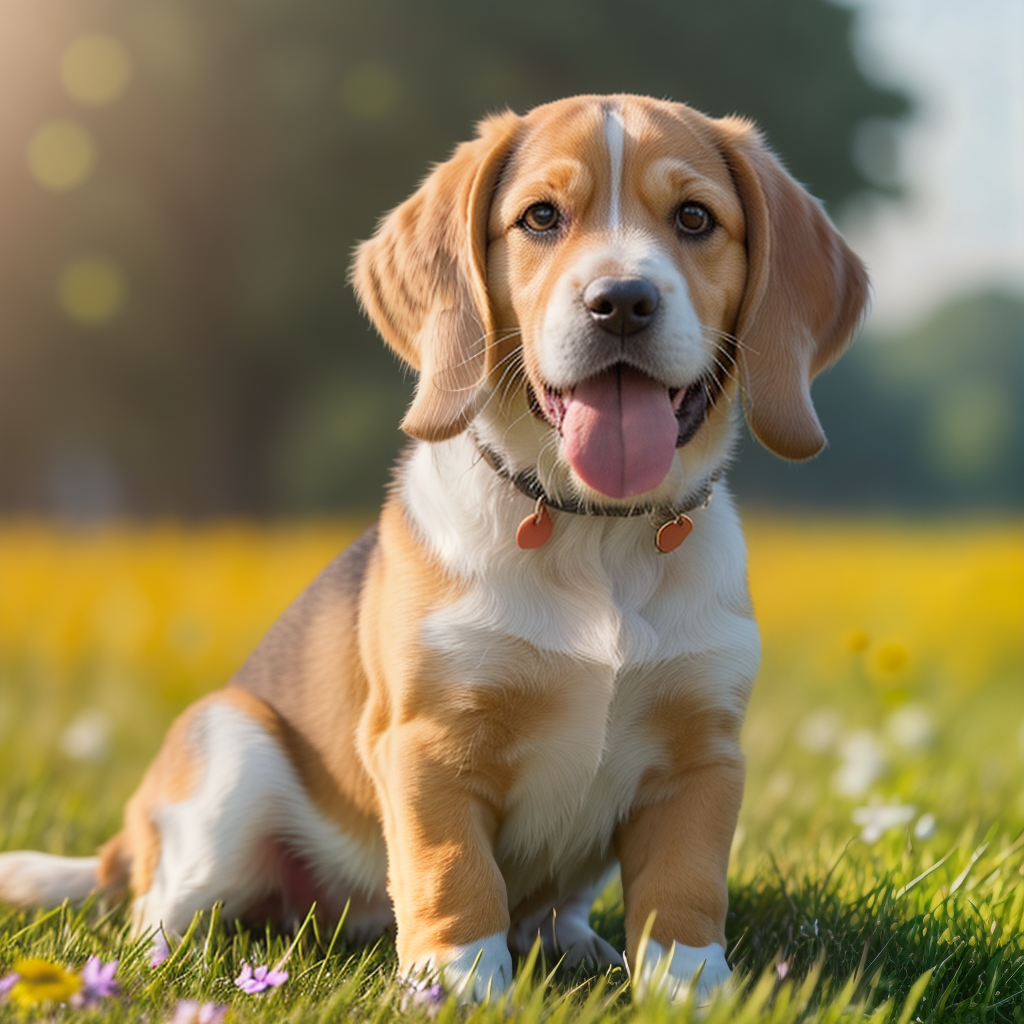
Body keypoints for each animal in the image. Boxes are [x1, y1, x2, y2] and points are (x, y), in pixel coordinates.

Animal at [0, 92, 864, 1003]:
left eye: (695, 218)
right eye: (541, 217)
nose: (622, 300)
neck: (596, 529)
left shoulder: (702, 755)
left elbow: (685, 890)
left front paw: (691, 988)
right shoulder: (426, 741)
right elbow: (453, 871)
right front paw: (459, 984)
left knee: (555, 907)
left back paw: (575, 943)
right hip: (231, 752)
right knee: (162, 906)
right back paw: (181, 963)